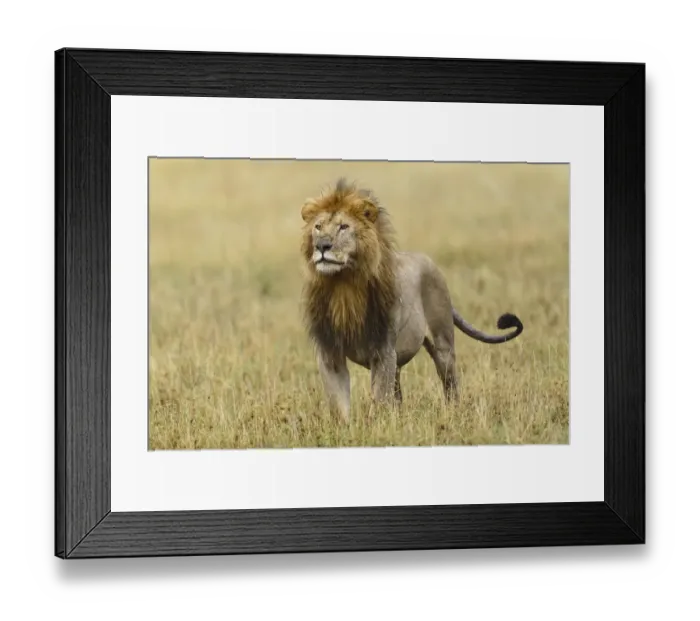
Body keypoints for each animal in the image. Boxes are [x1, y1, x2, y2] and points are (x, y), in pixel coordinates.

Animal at [300, 178, 523, 421]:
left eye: (343, 227)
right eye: (318, 227)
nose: (322, 245)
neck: (343, 285)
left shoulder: (383, 351)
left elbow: (379, 399)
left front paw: (375, 425)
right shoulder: (329, 353)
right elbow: (338, 404)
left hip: (442, 345)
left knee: (450, 385)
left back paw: (453, 413)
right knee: (398, 395)